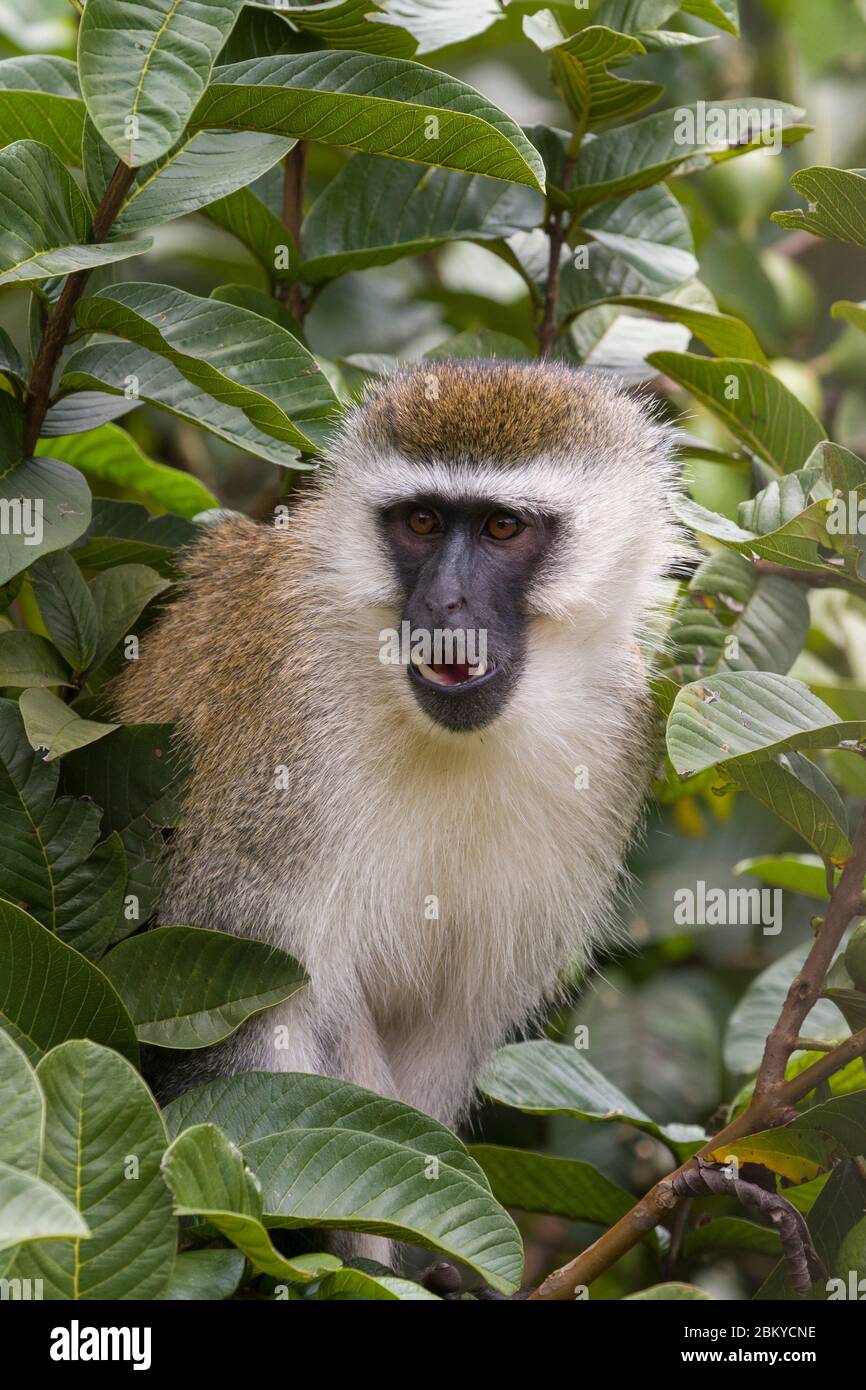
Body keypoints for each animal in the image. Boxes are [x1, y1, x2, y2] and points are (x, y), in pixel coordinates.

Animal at [116, 361, 683, 1128]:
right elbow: (254, 1036)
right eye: (421, 521)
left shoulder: (618, 733)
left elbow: (441, 1038)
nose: (443, 602)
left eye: (503, 527)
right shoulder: (287, 734)